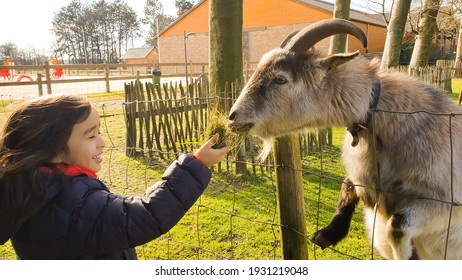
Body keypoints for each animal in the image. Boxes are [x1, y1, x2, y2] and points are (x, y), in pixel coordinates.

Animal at [228, 18, 462, 260]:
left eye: (280, 79)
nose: (232, 117)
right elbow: (349, 185)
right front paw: (327, 234)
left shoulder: (446, 205)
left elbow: (397, 227)